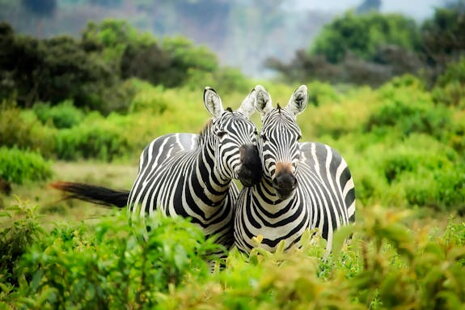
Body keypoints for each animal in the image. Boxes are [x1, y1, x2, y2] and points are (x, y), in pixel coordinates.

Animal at [51, 87, 260, 247]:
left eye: (255, 132)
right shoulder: (174, 245)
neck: (209, 202)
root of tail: (179, 133)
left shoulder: (218, 252)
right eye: (221, 134)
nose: (253, 167)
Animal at [234, 85, 354, 254]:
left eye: (298, 137)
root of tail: (316, 143)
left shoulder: (297, 253)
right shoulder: (246, 254)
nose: (285, 182)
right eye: (264, 137)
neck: (272, 212)